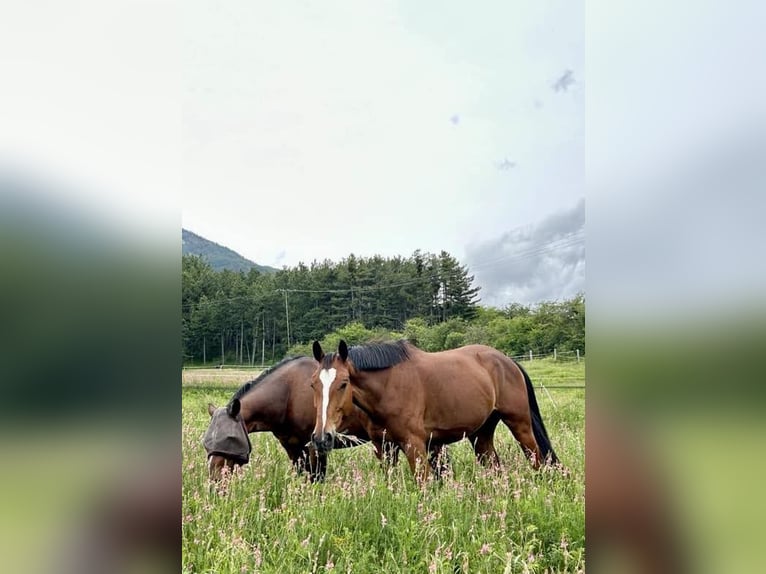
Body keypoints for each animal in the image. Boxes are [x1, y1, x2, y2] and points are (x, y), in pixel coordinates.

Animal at [201, 358, 400, 484]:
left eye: (230, 438)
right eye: (207, 442)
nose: (214, 483)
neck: (288, 393)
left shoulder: (314, 447)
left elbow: (317, 478)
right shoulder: (292, 447)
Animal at [310, 340, 560, 484]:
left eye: (343, 383)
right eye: (313, 384)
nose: (322, 437)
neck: (389, 387)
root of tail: (508, 361)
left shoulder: (415, 446)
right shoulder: (385, 448)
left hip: (520, 425)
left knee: (537, 460)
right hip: (481, 434)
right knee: (495, 468)